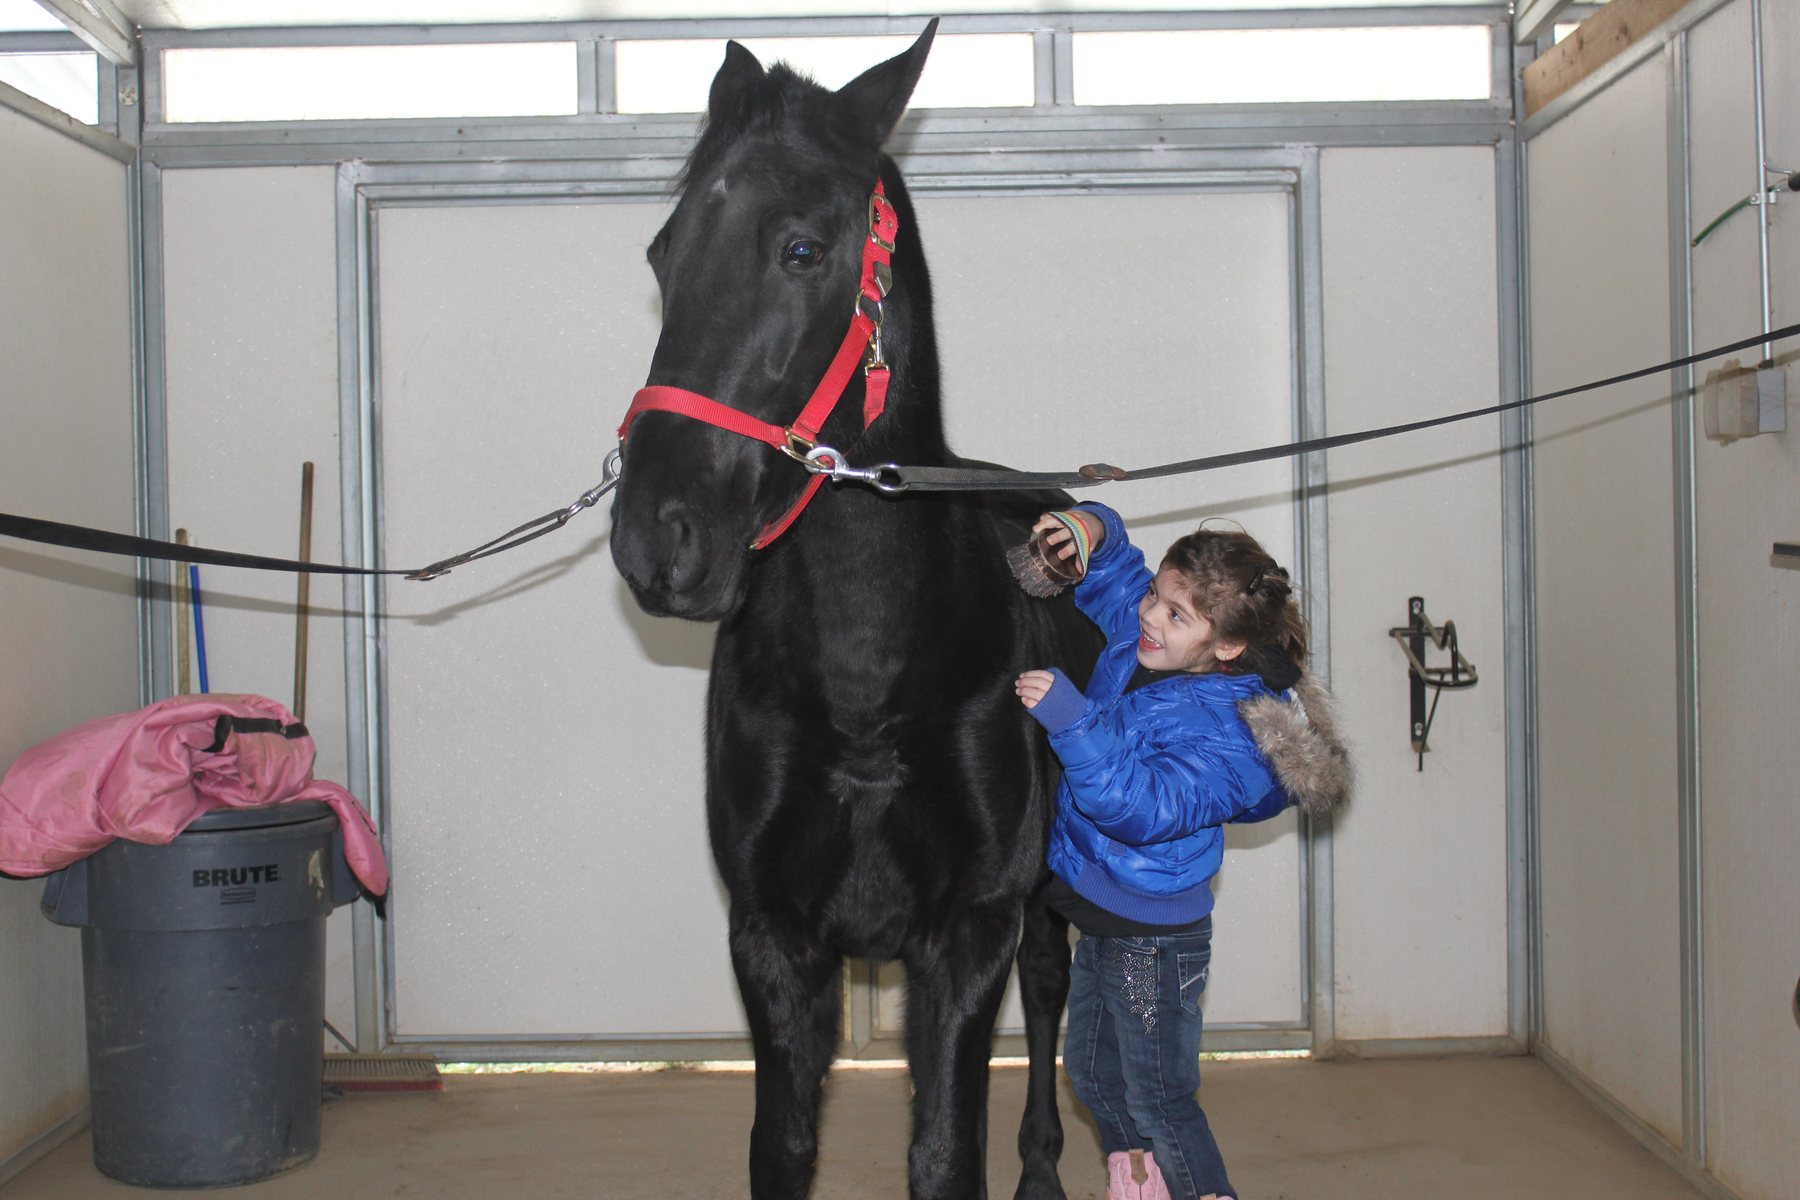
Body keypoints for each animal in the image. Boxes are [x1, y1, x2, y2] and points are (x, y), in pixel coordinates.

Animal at [609, 22, 1098, 1199]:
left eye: (801, 249)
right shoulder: (773, 938)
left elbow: (945, 1153)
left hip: (1046, 902)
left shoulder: (969, 934)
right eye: (663, 253)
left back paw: (1045, 1169)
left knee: (1051, 993)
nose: (657, 538)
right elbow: (782, 1147)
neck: (869, 674)